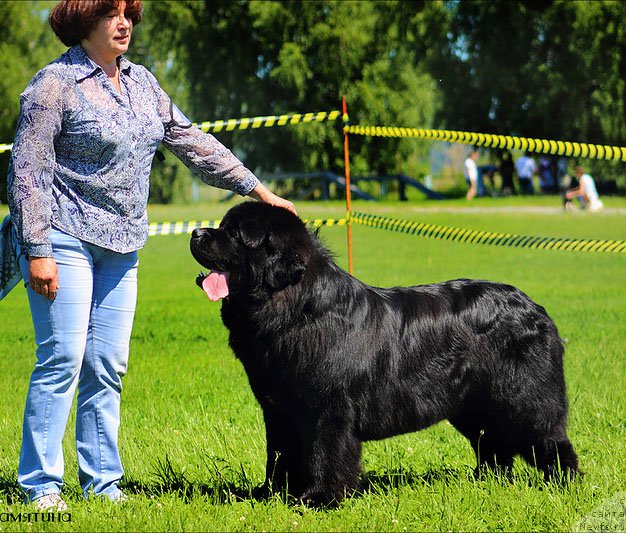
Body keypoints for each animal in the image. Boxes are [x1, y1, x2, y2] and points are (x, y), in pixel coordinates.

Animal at [188, 202, 576, 504]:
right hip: (473, 404)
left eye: (234, 233)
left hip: (523, 397)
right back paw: (486, 482)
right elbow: (280, 453)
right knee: (494, 443)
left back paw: (564, 484)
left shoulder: (330, 408)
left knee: (549, 439)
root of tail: (536, 308)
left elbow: (326, 453)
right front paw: (271, 494)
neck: (298, 307)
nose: (195, 232)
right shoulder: (279, 409)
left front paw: (320, 498)